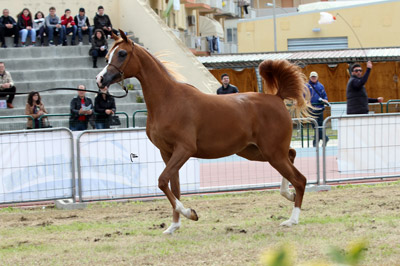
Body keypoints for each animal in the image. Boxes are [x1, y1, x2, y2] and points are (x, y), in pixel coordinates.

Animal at [95, 30, 310, 233]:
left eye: (122, 53)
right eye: (107, 55)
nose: (100, 79)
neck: (168, 100)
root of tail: (277, 97)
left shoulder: (184, 149)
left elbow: (162, 181)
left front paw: (190, 214)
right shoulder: (167, 153)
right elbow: (174, 187)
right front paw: (174, 226)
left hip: (272, 153)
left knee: (300, 179)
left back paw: (292, 219)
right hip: (256, 152)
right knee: (292, 154)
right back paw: (288, 194)